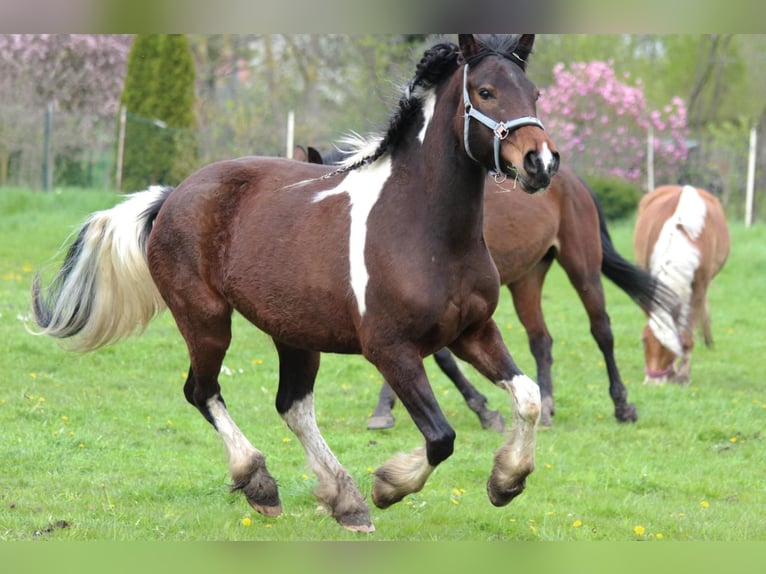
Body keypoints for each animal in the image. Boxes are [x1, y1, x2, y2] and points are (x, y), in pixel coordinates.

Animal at [30, 33, 560, 532]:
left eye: (534, 93)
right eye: (486, 91)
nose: (541, 162)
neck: (427, 229)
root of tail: (172, 196)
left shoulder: (474, 331)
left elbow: (528, 398)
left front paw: (506, 481)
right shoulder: (390, 349)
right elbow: (440, 437)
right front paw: (389, 486)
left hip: (295, 333)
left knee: (291, 406)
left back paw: (345, 501)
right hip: (205, 320)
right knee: (202, 392)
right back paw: (261, 484)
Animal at [306, 152, 684, 428]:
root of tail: (573, 181)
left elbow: (439, 357)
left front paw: (481, 410)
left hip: (582, 266)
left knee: (601, 329)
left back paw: (622, 405)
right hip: (527, 278)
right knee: (541, 339)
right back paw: (546, 406)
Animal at [636, 184, 732, 384]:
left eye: (672, 346)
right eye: (644, 341)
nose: (652, 383)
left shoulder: (700, 287)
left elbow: (688, 333)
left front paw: (682, 375)